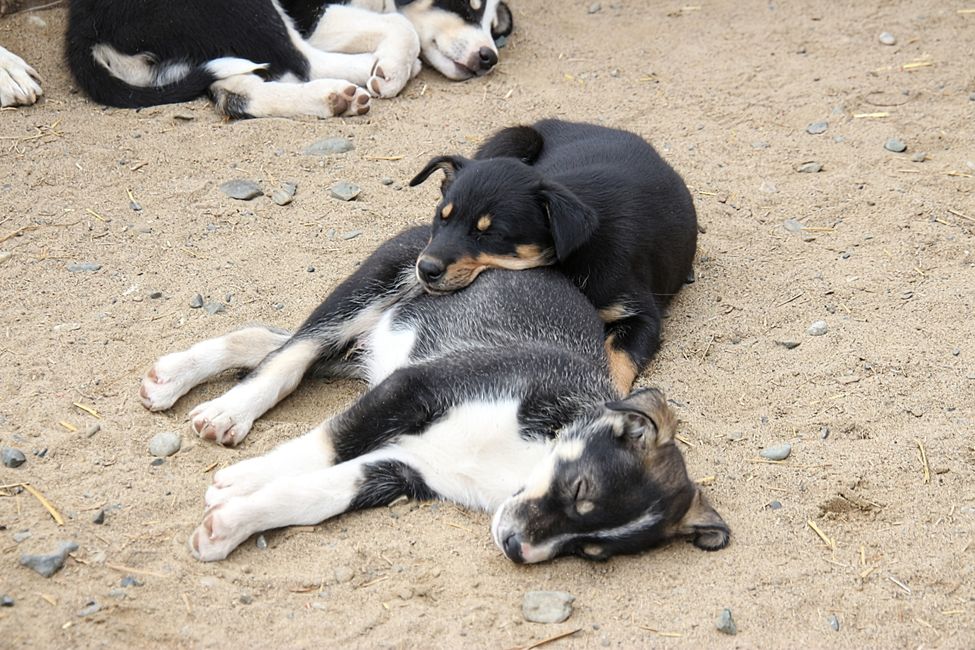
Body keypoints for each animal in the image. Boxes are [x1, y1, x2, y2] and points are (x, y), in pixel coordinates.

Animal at [66, 0, 516, 119]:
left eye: (496, 28)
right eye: (469, 4)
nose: (489, 57)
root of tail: (83, 29)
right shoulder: (310, 11)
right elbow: (401, 24)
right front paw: (390, 68)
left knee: (240, 92)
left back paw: (334, 99)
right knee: (302, 60)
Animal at [139, 225, 732, 560]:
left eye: (591, 551)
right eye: (579, 487)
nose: (515, 548)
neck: (526, 454)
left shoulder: (402, 470)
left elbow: (317, 496)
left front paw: (228, 526)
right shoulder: (414, 386)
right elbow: (329, 442)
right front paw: (242, 481)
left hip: (366, 351)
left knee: (269, 342)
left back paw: (177, 377)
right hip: (374, 286)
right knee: (291, 354)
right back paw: (223, 407)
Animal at [408, 116, 696, 390]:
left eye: (491, 235)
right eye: (441, 217)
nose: (426, 269)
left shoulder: (642, 315)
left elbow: (616, 360)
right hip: (516, 136)